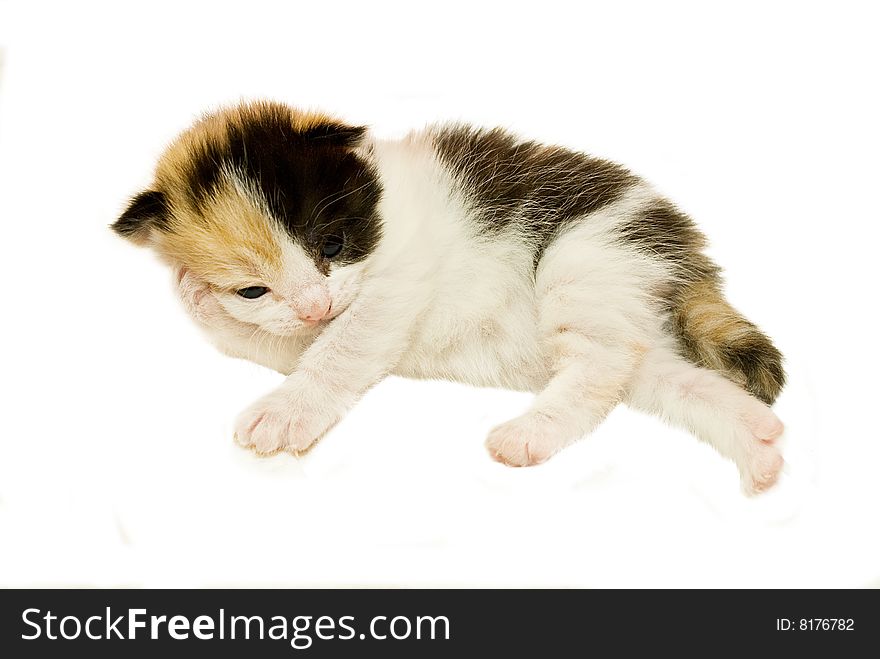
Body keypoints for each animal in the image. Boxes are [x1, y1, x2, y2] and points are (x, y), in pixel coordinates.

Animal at [115, 100, 784, 496]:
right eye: (252, 288)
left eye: (331, 242)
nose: (313, 307)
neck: (382, 210)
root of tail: (687, 251)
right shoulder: (301, 324)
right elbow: (286, 342)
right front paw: (199, 297)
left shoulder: (394, 287)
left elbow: (338, 353)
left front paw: (285, 413)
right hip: (633, 321)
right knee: (665, 380)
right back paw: (759, 446)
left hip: (590, 257)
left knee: (598, 366)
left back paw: (527, 435)